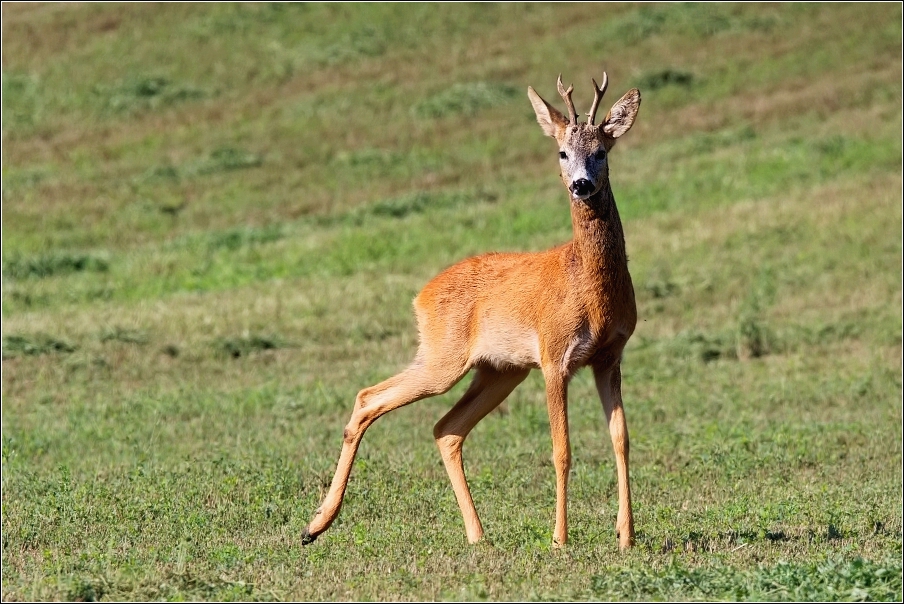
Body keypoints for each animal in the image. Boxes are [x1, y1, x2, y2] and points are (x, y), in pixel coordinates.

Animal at [304, 71, 644, 552]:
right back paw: (315, 525)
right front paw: (559, 540)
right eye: (561, 151)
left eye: (601, 150)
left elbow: (621, 440)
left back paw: (476, 535)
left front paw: (626, 536)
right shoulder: (554, 356)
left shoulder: (610, 355)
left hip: (499, 370)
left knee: (446, 428)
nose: (580, 184)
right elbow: (561, 449)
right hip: (444, 359)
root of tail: (421, 297)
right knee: (369, 397)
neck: (592, 291)